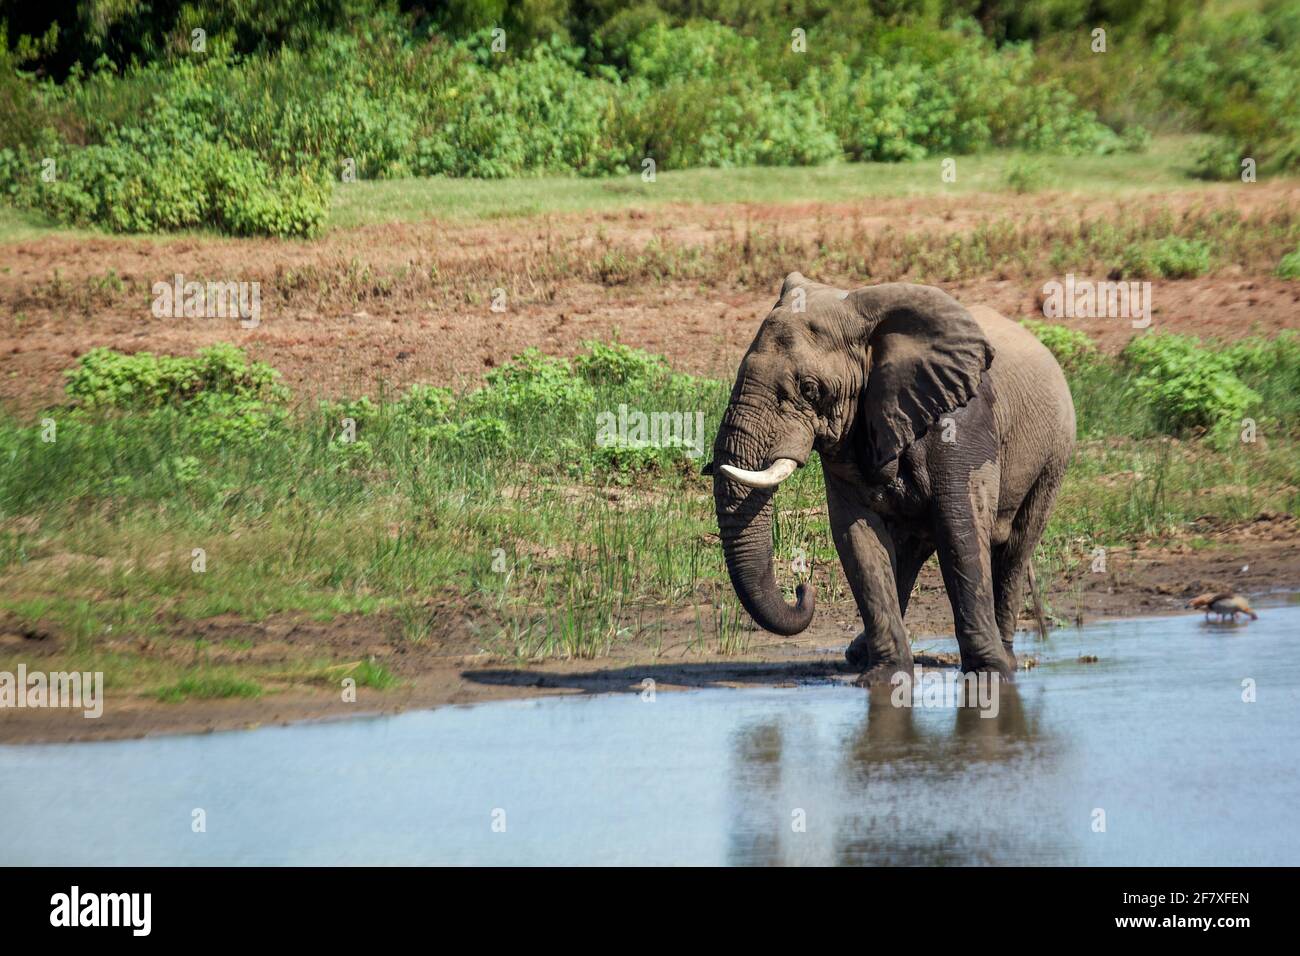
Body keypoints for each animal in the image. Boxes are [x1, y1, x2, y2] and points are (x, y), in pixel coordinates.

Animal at [710, 273, 1075, 683]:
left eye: (809, 389)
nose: (803, 588)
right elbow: (859, 539)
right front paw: (884, 678)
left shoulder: (963, 422)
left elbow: (960, 529)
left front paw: (987, 676)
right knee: (912, 547)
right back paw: (858, 655)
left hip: (1055, 455)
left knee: (1015, 548)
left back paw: (1007, 661)